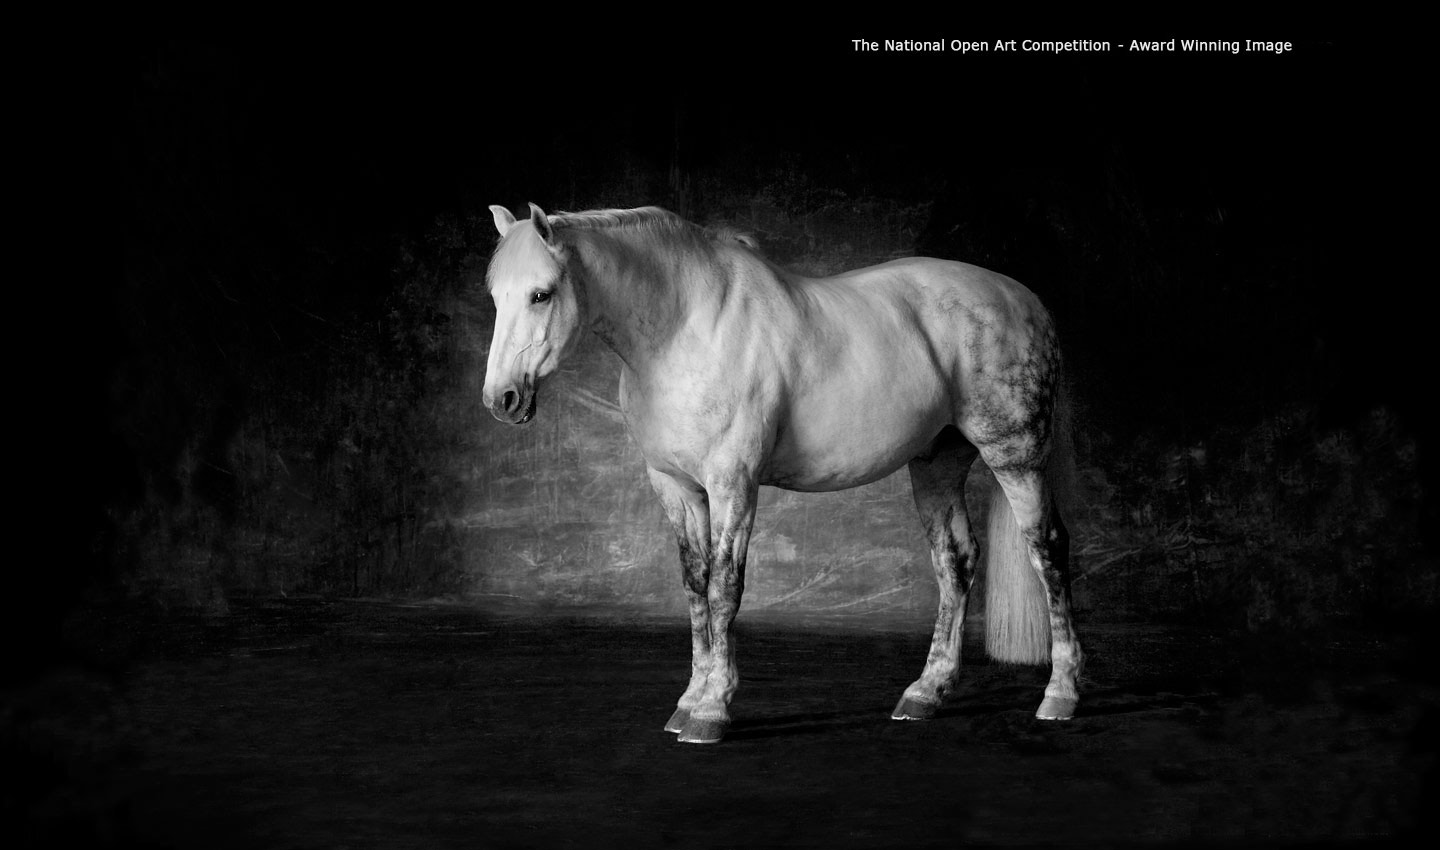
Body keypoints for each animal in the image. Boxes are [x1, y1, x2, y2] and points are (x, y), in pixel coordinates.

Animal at [481, 203, 1083, 744]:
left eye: (541, 293)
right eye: (495, 296)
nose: (501, 399)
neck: (687, 328)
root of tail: (1025, 301)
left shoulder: (733, 484)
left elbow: (724, 588)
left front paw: (712, 711)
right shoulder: (676, 488)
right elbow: (695, 586)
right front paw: (688, 700)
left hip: (1015, 454)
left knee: (1047, 551)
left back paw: (1060, 695)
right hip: (936, 463)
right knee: (955, 562)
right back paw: (924, 694)